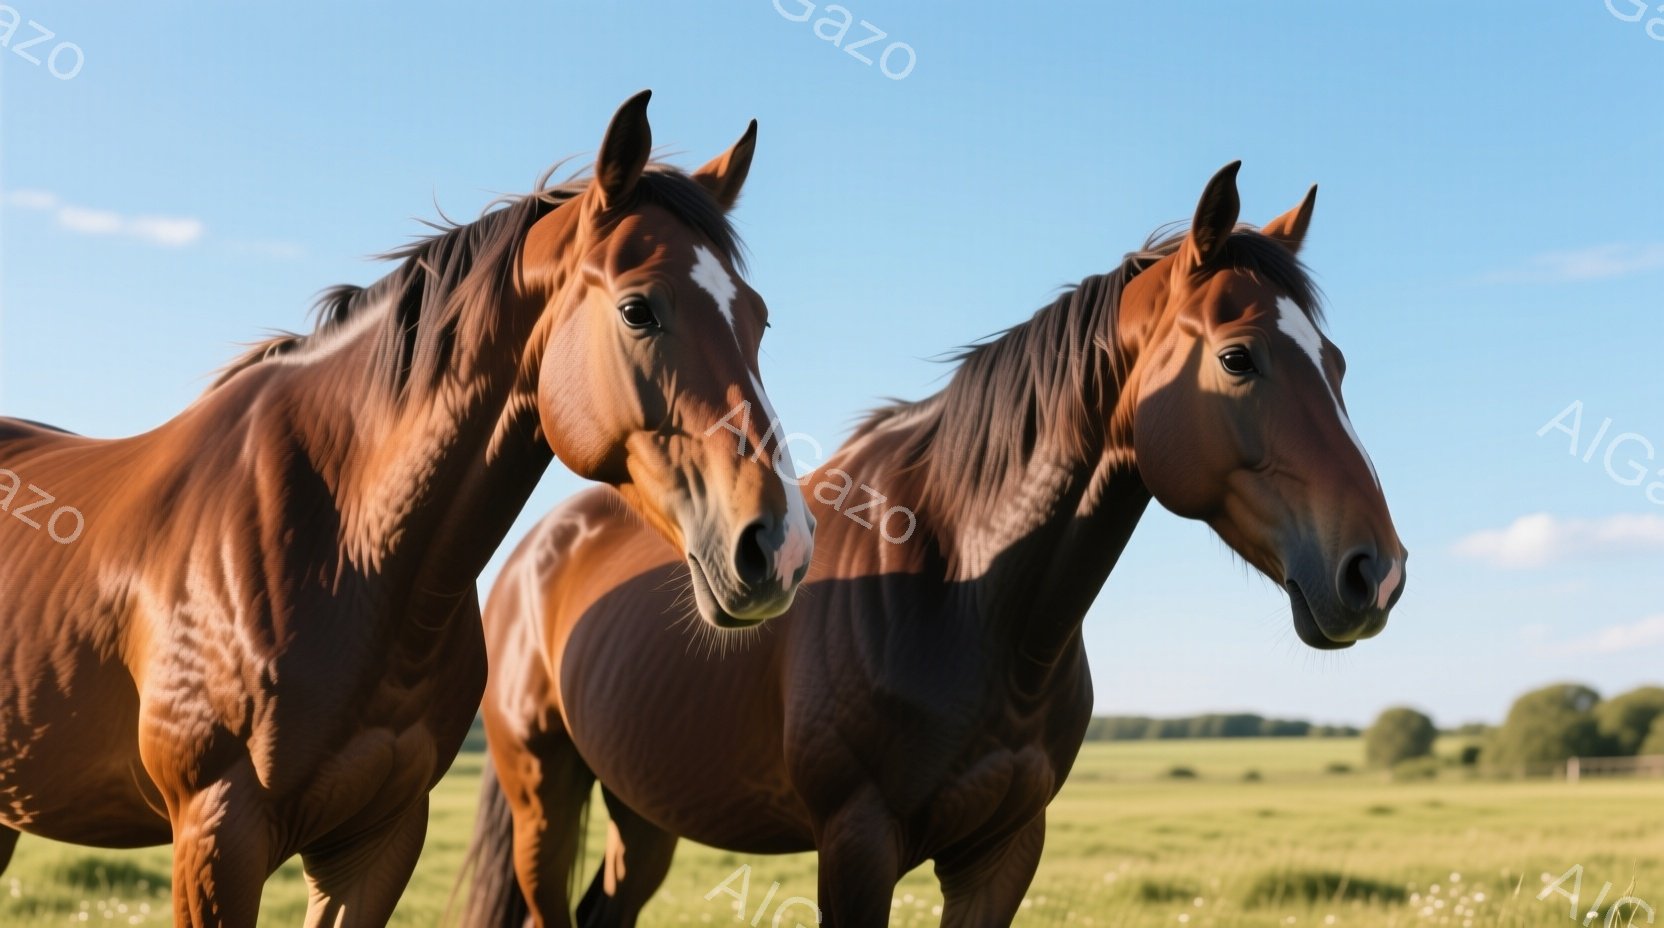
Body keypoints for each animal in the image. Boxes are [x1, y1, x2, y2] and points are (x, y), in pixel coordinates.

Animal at [0, 90, 814, 927]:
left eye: (758, 318)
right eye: (637, 309)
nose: (778, 546)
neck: (344, 552)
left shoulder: (379, 840)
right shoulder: (215, 836)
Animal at [460, 162, 1408, 927]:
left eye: (1337, 364)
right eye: (1240, 358)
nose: (1377, 573)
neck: (964, 594)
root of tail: (531, 557)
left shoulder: (1004, 853)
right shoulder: (856, 846)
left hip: (645, 809)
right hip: (545, 795)